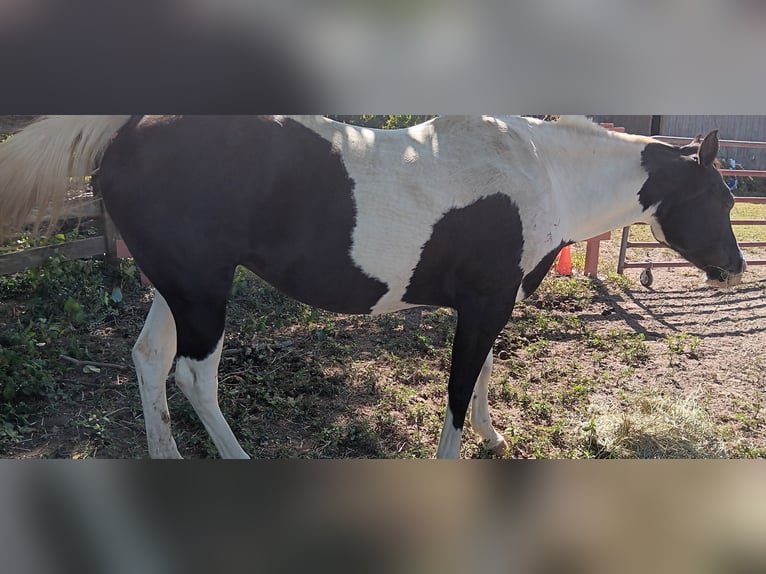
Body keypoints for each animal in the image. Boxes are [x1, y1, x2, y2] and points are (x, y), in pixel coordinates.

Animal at [0, 115, 746, 458]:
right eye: (720, 199)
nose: (736, 269)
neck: (542, 172)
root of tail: (130, 127)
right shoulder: (482, 306)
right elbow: (458, 388)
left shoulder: (491, 306)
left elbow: (482, 376)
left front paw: (494, 439)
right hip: (205, 295)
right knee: (192, 376)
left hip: (176, 290)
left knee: (150, 361)